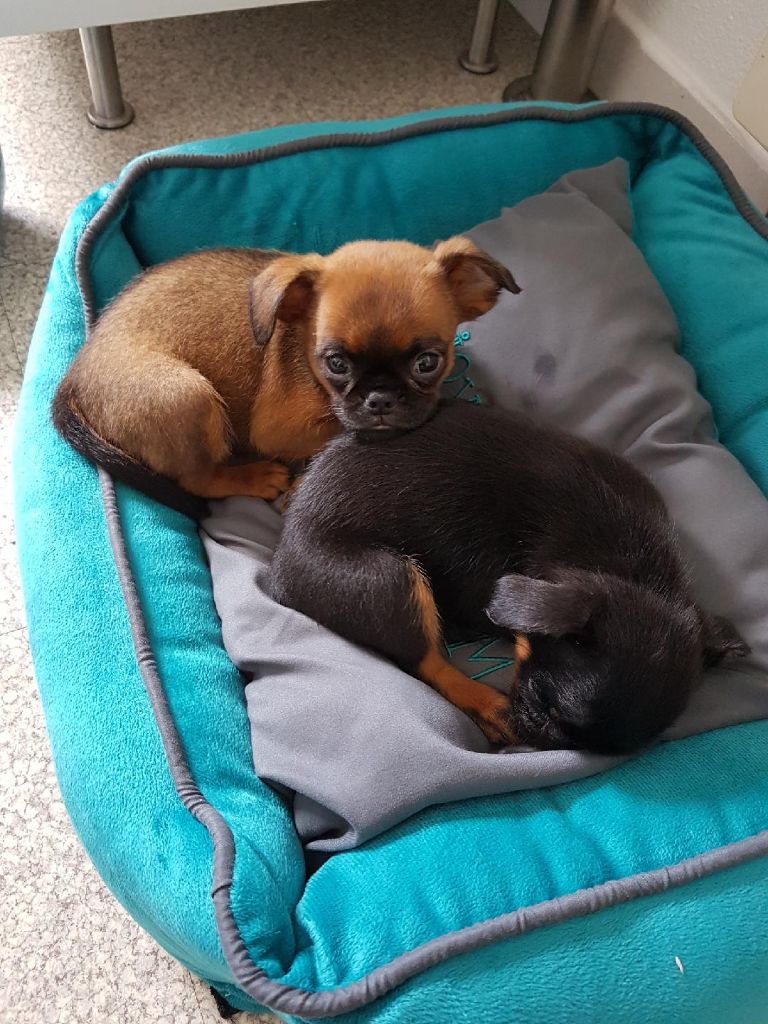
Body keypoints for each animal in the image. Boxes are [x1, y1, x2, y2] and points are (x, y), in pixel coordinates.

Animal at [53, 239, 518, 515]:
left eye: (427, 362)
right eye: (336, 364)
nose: (380, 399)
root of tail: (73, 380)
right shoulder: (281, 430)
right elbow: (337, 430)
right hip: (187, 395)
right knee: (197, 480)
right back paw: (253, 478)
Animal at [269, 401, 749, 755]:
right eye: (542, 702)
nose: (535, 739)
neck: (630, 566)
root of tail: (281, 563)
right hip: (391, 578)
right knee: (423, 661)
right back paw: (488, 705)